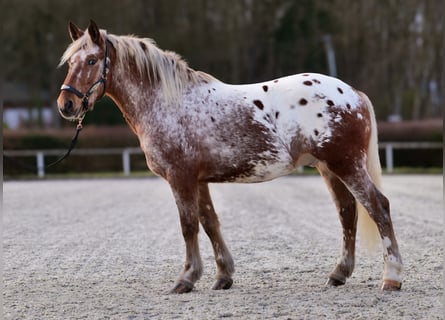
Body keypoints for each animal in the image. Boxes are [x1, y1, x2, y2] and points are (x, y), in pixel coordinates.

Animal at [56, 20, 402, 294]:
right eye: (70, 62)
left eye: (91, 60)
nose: (66, 105)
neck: (168, 103)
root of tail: (353, 93)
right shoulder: (199, 180)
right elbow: (210, 223)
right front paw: (223, 276)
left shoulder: (181, 178)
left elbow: (188, 226)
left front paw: (186, 279)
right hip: (330, 168)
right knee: (348, 213)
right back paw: (338, 274)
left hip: (346, 165)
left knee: (378, 207)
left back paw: (392, 278)